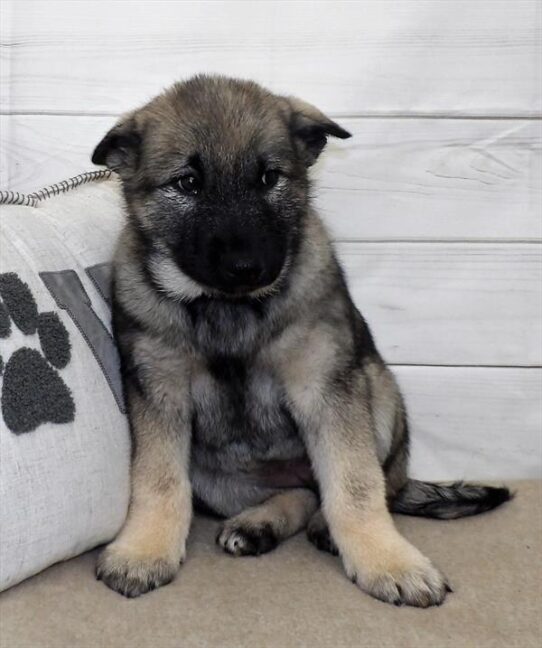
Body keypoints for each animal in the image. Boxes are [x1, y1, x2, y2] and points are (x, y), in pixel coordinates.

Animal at [91, 76, 512, 608]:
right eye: (187, 183)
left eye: (269, 178)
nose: (247, 267)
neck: (228, 308)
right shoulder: (159, 394)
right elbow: (158, 480)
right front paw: (144, 550)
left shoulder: (325, 385)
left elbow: (355, 485)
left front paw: (388, 560)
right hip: (219, 475)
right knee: (304, 491)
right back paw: (258, 523)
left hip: (376, 388)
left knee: (371, 486)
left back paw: (320, 528)